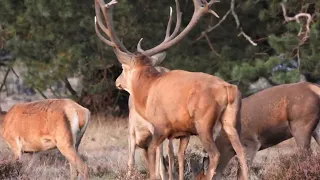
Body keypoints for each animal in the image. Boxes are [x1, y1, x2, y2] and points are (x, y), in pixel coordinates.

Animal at [94, 0, 249, 180]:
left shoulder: (159, 127)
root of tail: (229, 89)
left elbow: (155, 165)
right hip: (232, 121)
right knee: (241, 151)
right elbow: (178, 160)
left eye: (123, 68)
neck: (146, 91)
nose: (117, 82)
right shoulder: (183, 132)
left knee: (215, 155)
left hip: (203, 122)